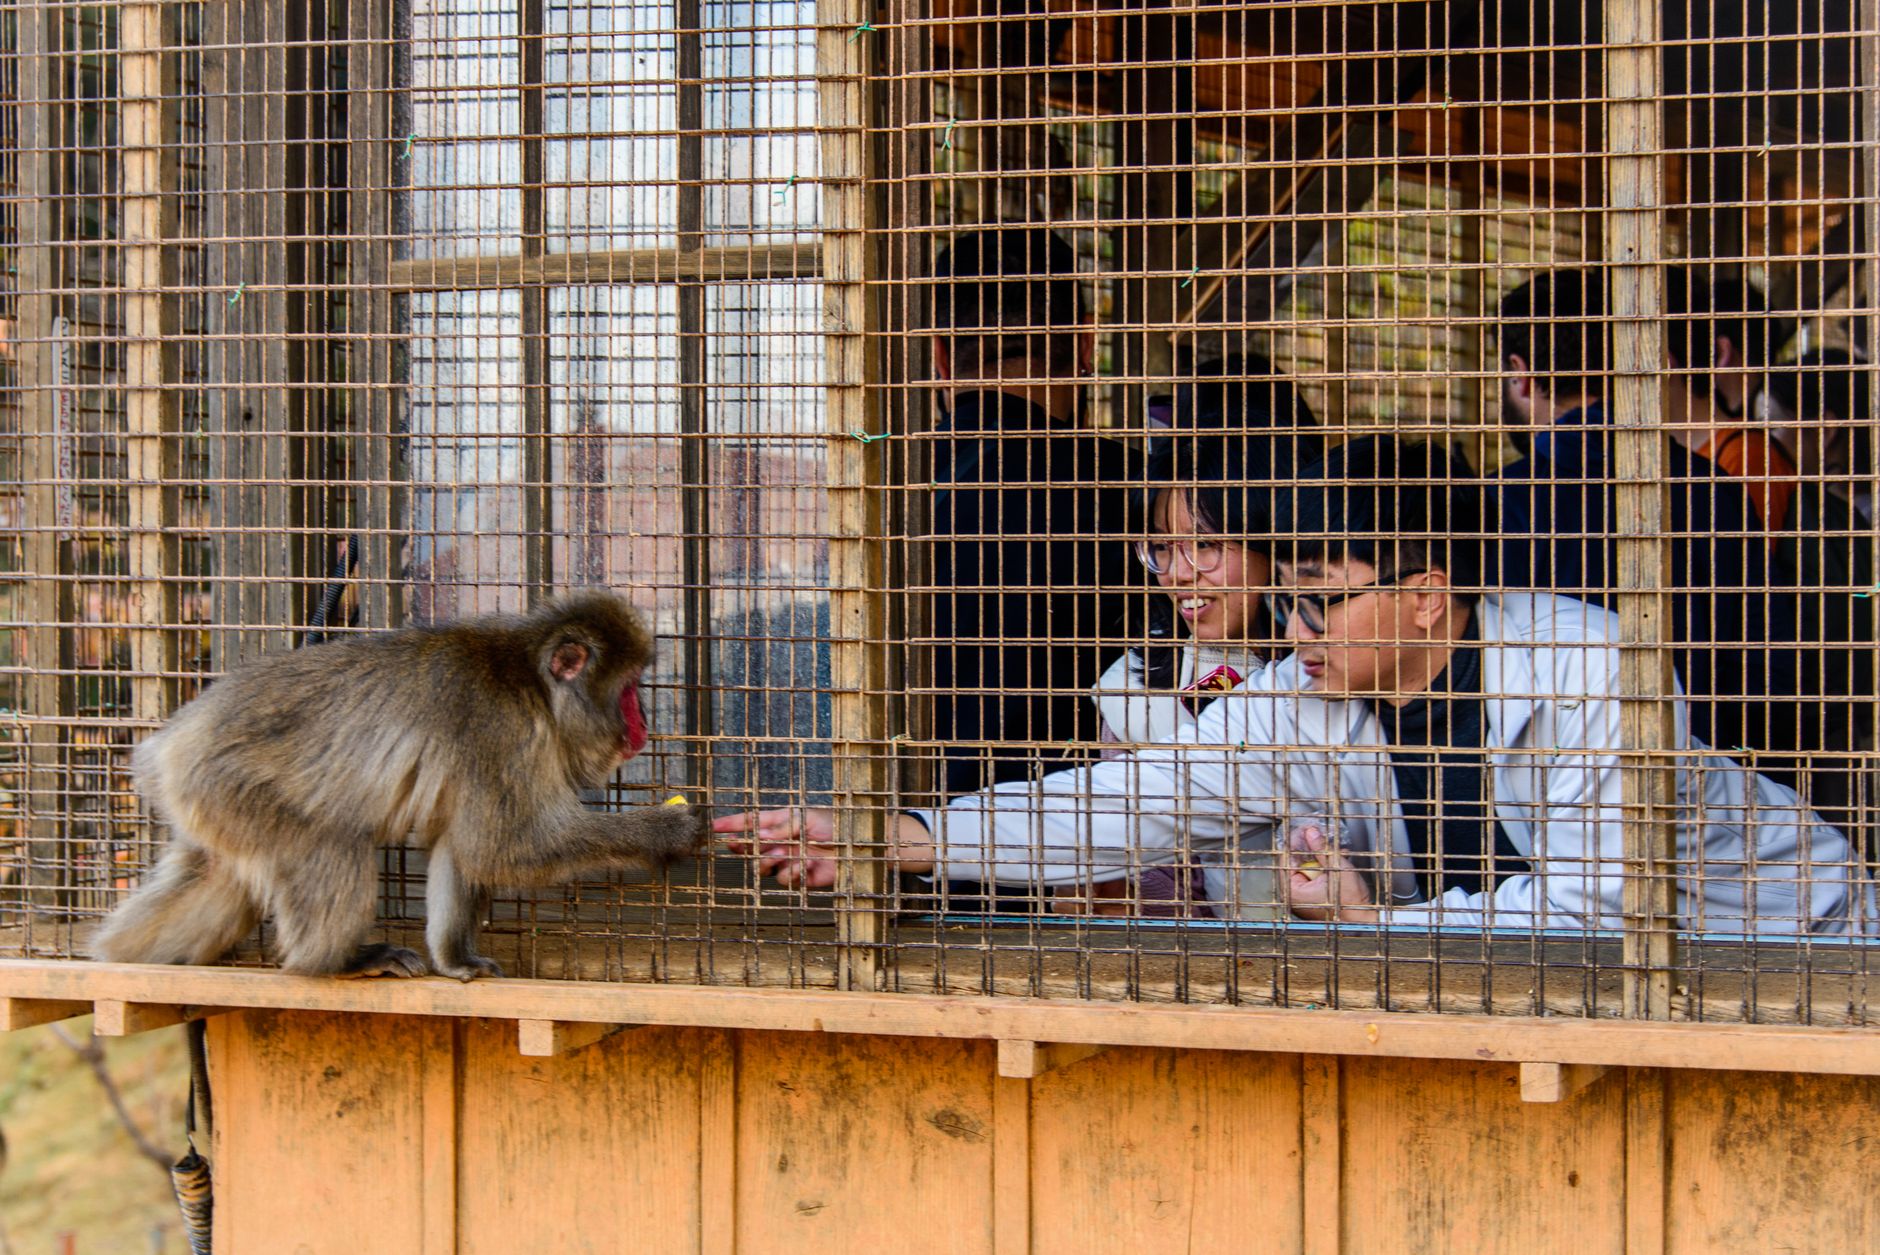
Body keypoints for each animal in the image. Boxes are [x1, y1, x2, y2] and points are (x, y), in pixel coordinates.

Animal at [91, 589, 711, 981]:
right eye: (630, 689)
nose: (643, 723)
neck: (533, 688)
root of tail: (169, 744)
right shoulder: (501, 733)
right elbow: (500, 847)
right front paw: (662, 831)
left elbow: (461, 846)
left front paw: (455, 958)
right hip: (236, 786)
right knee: (331, 842)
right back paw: (332, 963)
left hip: (210, 804)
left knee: (217, 881)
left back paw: (115, 957)